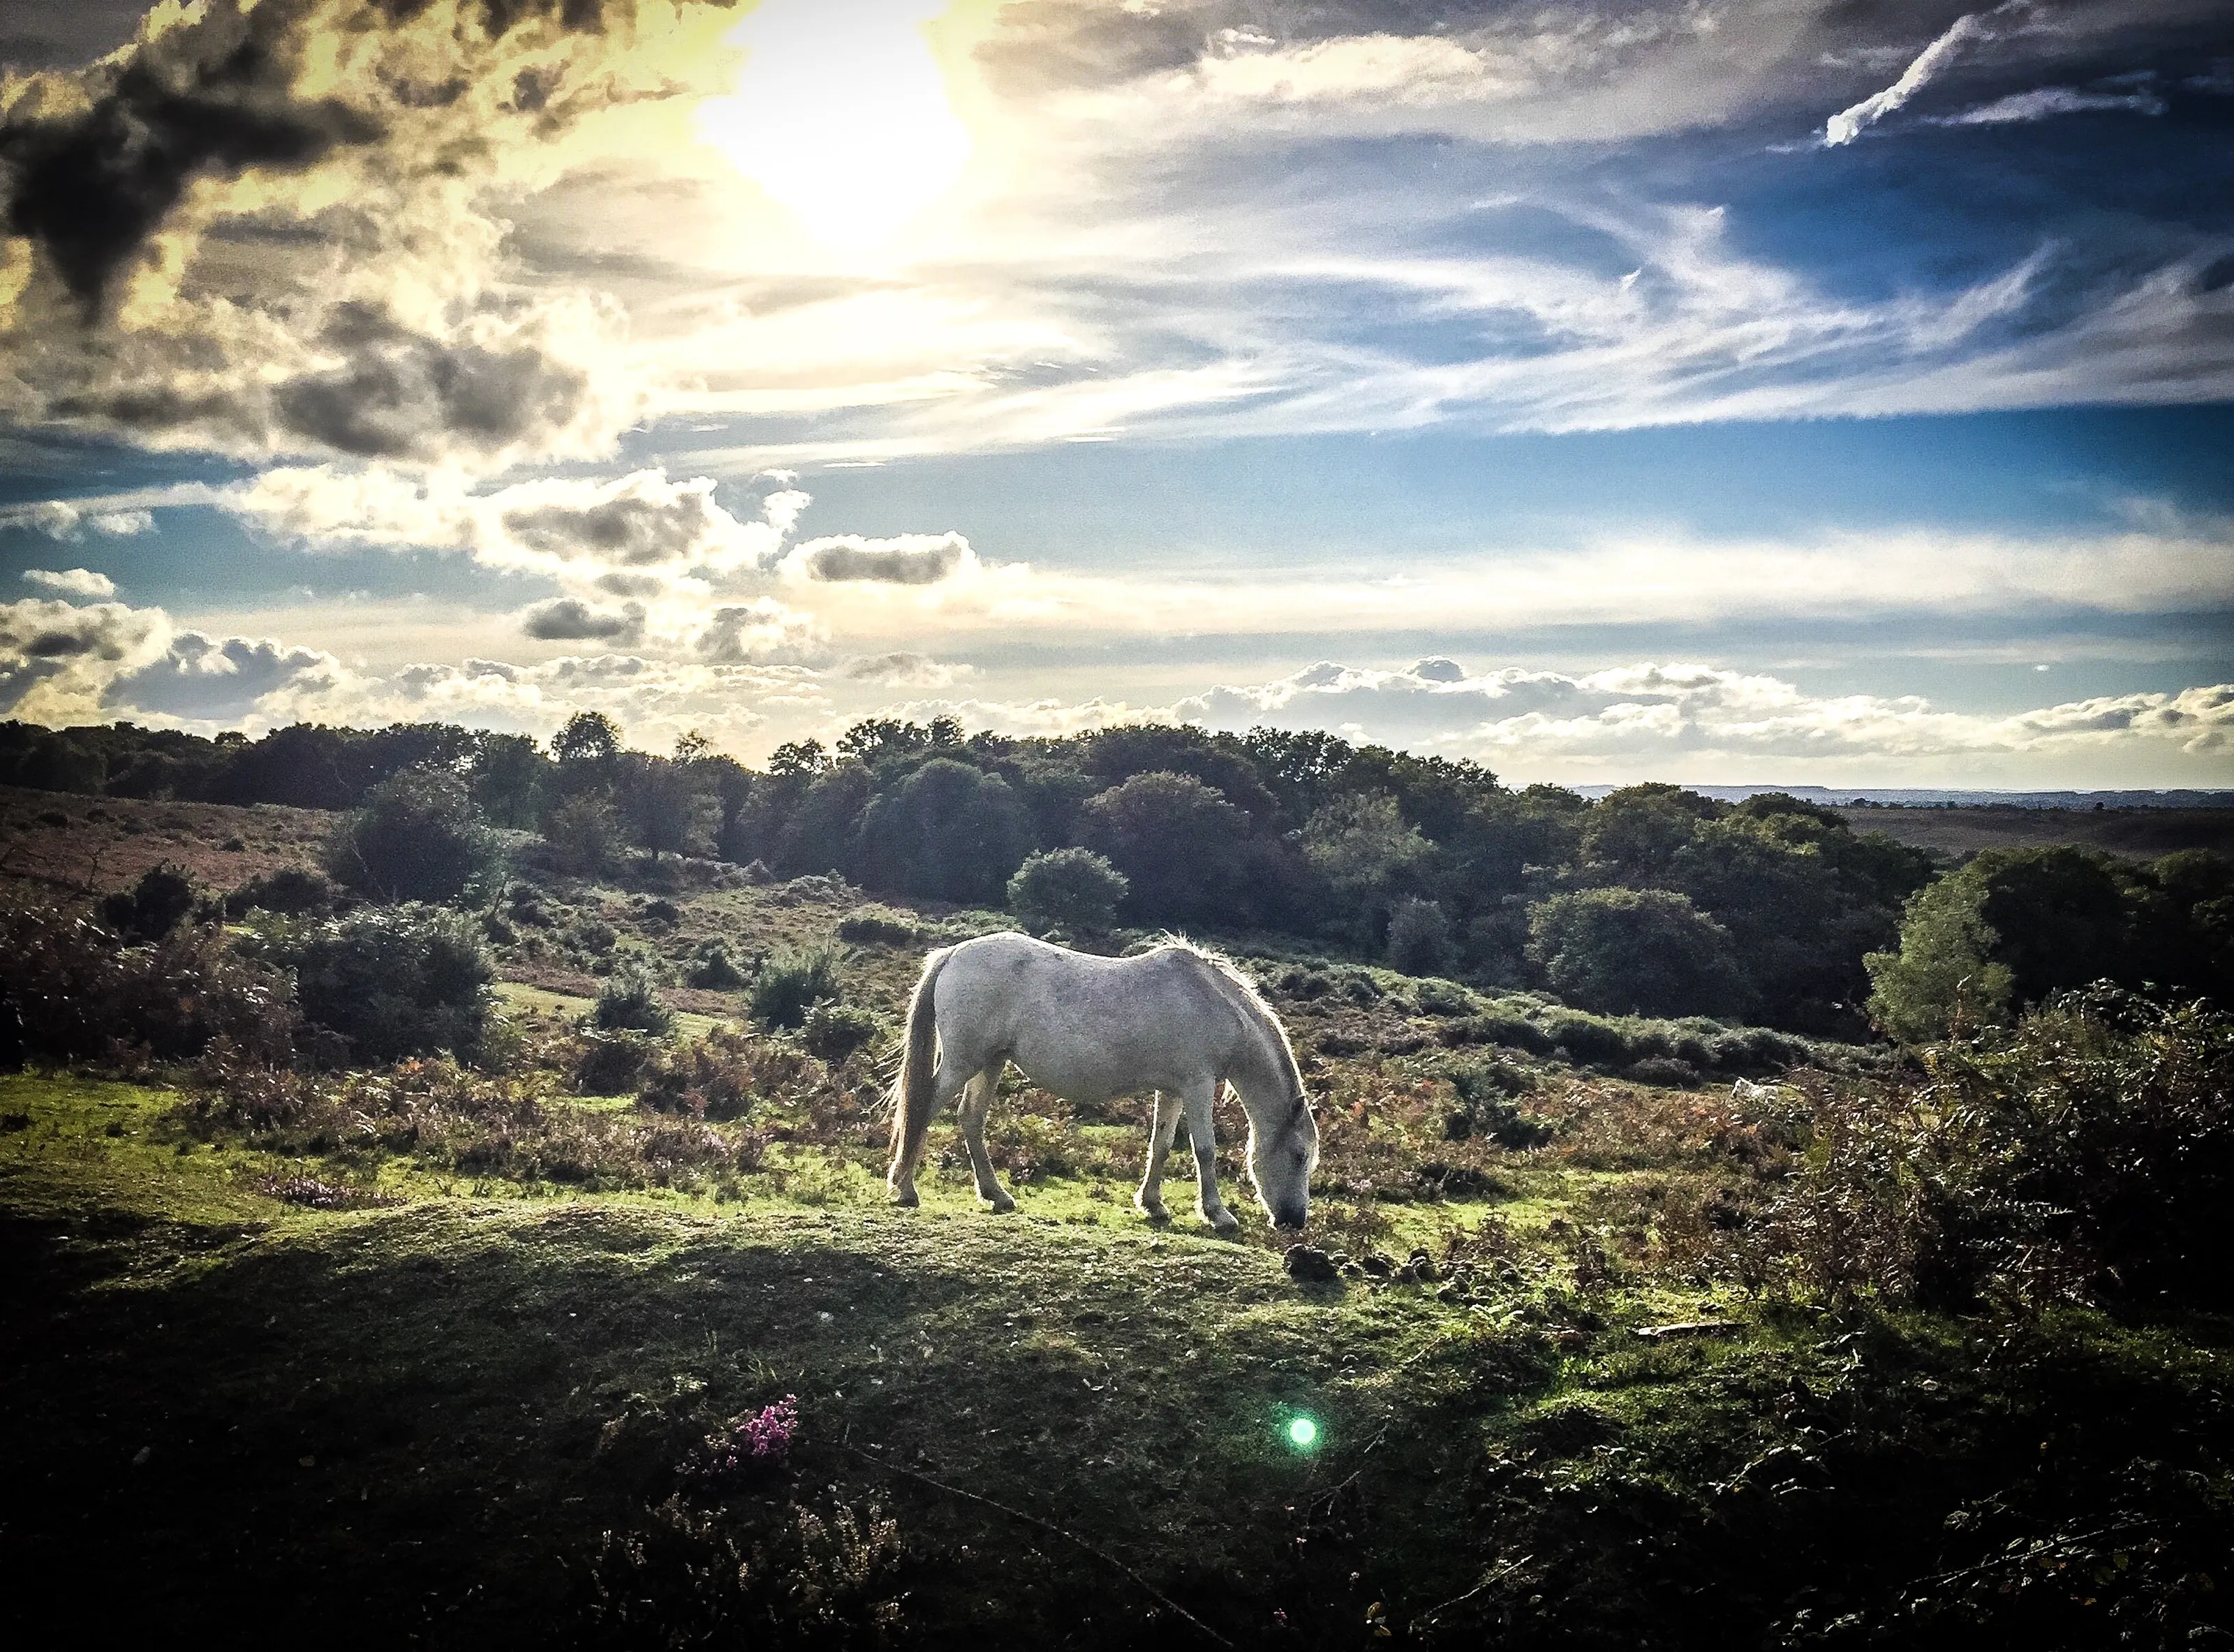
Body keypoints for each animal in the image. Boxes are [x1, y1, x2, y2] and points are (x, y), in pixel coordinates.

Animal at [885, 932, 1319, 1232]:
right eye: (1299, 1155)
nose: (1295, 1220)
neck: (1212, 1003)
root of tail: (953, 954)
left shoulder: (1173, 1089)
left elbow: (1161, 1145)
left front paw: (1153, 1204)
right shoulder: (1198, 1086)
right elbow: (1205, 1151)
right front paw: (1218, 1214)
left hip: (990, 1063)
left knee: (971, 1118)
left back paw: (997, 1195)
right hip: (964, 1062)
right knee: (924, 1108)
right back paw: (905, 1188)